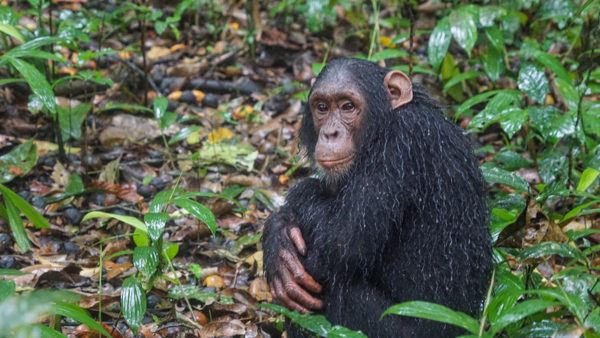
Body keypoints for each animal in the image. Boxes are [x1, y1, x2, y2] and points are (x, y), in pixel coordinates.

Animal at [262, 56, 492, 336]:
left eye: (348, 106)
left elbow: (342, 240)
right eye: (322, 107)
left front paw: (291, 210)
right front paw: (278, 240)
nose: (330, 133)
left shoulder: (397, 150)